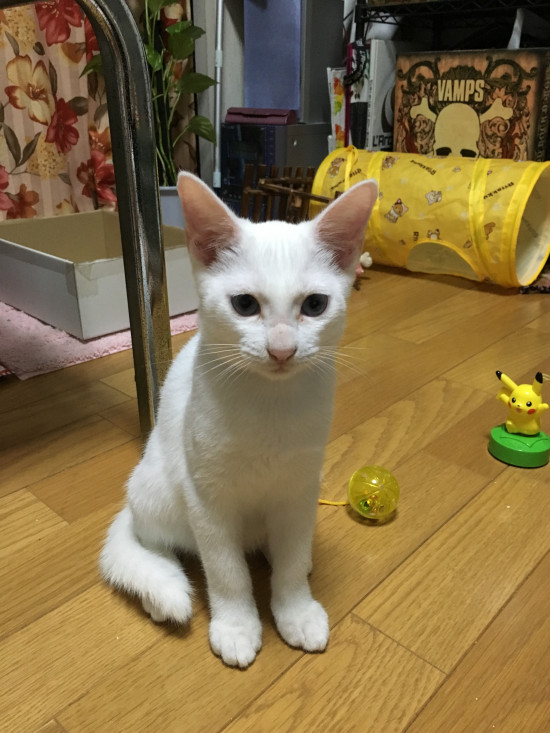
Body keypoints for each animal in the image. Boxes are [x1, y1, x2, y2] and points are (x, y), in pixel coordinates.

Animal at [99, 172, 377, 668]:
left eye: (315, 305)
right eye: (245, 305)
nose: (282, 350)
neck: (270, 403)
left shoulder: (299, 488)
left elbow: (289, 563)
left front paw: (295, 608)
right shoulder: (207, 498)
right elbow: (226, 572)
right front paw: (236, 624)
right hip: (157, 490)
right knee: (150, 539)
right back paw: (159, 590)